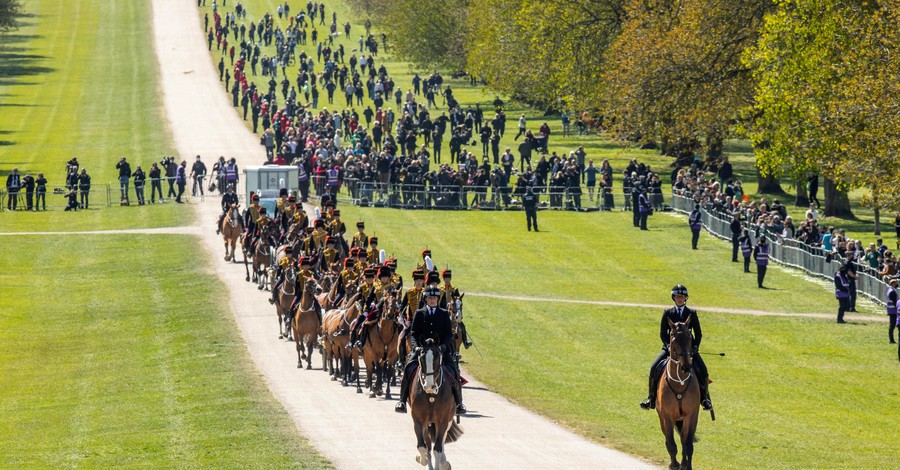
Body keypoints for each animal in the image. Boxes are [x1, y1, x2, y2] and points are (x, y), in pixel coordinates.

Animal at [410, 338, 464, 470]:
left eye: (437, 357)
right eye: (421, 358)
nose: (430, 386)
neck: (431, 396)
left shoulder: (443, 420)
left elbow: (438, 449)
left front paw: (442, 464)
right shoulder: (418, 420)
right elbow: (423, 447)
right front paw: (422, 460)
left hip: (448, 420)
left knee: (441, 441)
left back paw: (444, 463)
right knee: (428, 444)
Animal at [656, 318, 700, 468]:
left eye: (689, 338)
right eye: (674, 340)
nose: (686, 366)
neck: (679, 383)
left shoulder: (692, 415)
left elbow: (687, 443)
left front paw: (687, 465)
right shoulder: (667, 416)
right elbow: (671, 443)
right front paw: (674, 465)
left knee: (683, 439)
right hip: (662, 417)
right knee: (668, 439)